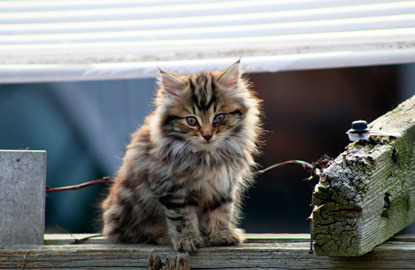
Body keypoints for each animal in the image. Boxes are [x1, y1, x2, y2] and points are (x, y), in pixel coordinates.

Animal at [101, 61, 262, 253]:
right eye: (191, 121)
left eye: (219, 117)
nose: (207, 135)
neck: (209, 157)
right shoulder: (173, 190)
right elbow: (182, 218)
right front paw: (187, 239)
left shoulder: (223, 186)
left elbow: (222, 212)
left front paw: (222, 234)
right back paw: (164, 237)